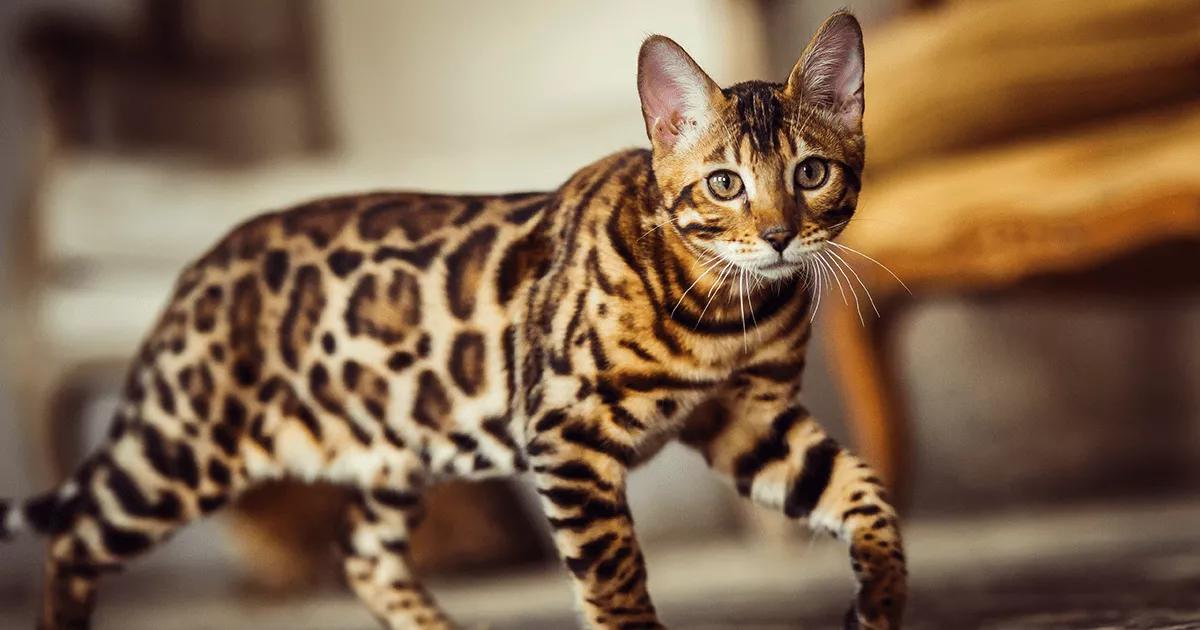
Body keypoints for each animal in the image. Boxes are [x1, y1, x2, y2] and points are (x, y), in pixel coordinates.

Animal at [0, 11, 902, 628]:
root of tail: (195, 272)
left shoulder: (751, 419)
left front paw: (879, 602)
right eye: (724, 185)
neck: (729, 309)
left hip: (391, 447)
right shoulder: (565, 435)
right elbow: (615, 578)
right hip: (177, 451)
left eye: (811, 173)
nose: (779, 235)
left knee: (360, 557)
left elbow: (871, 501)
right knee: (73, 533)